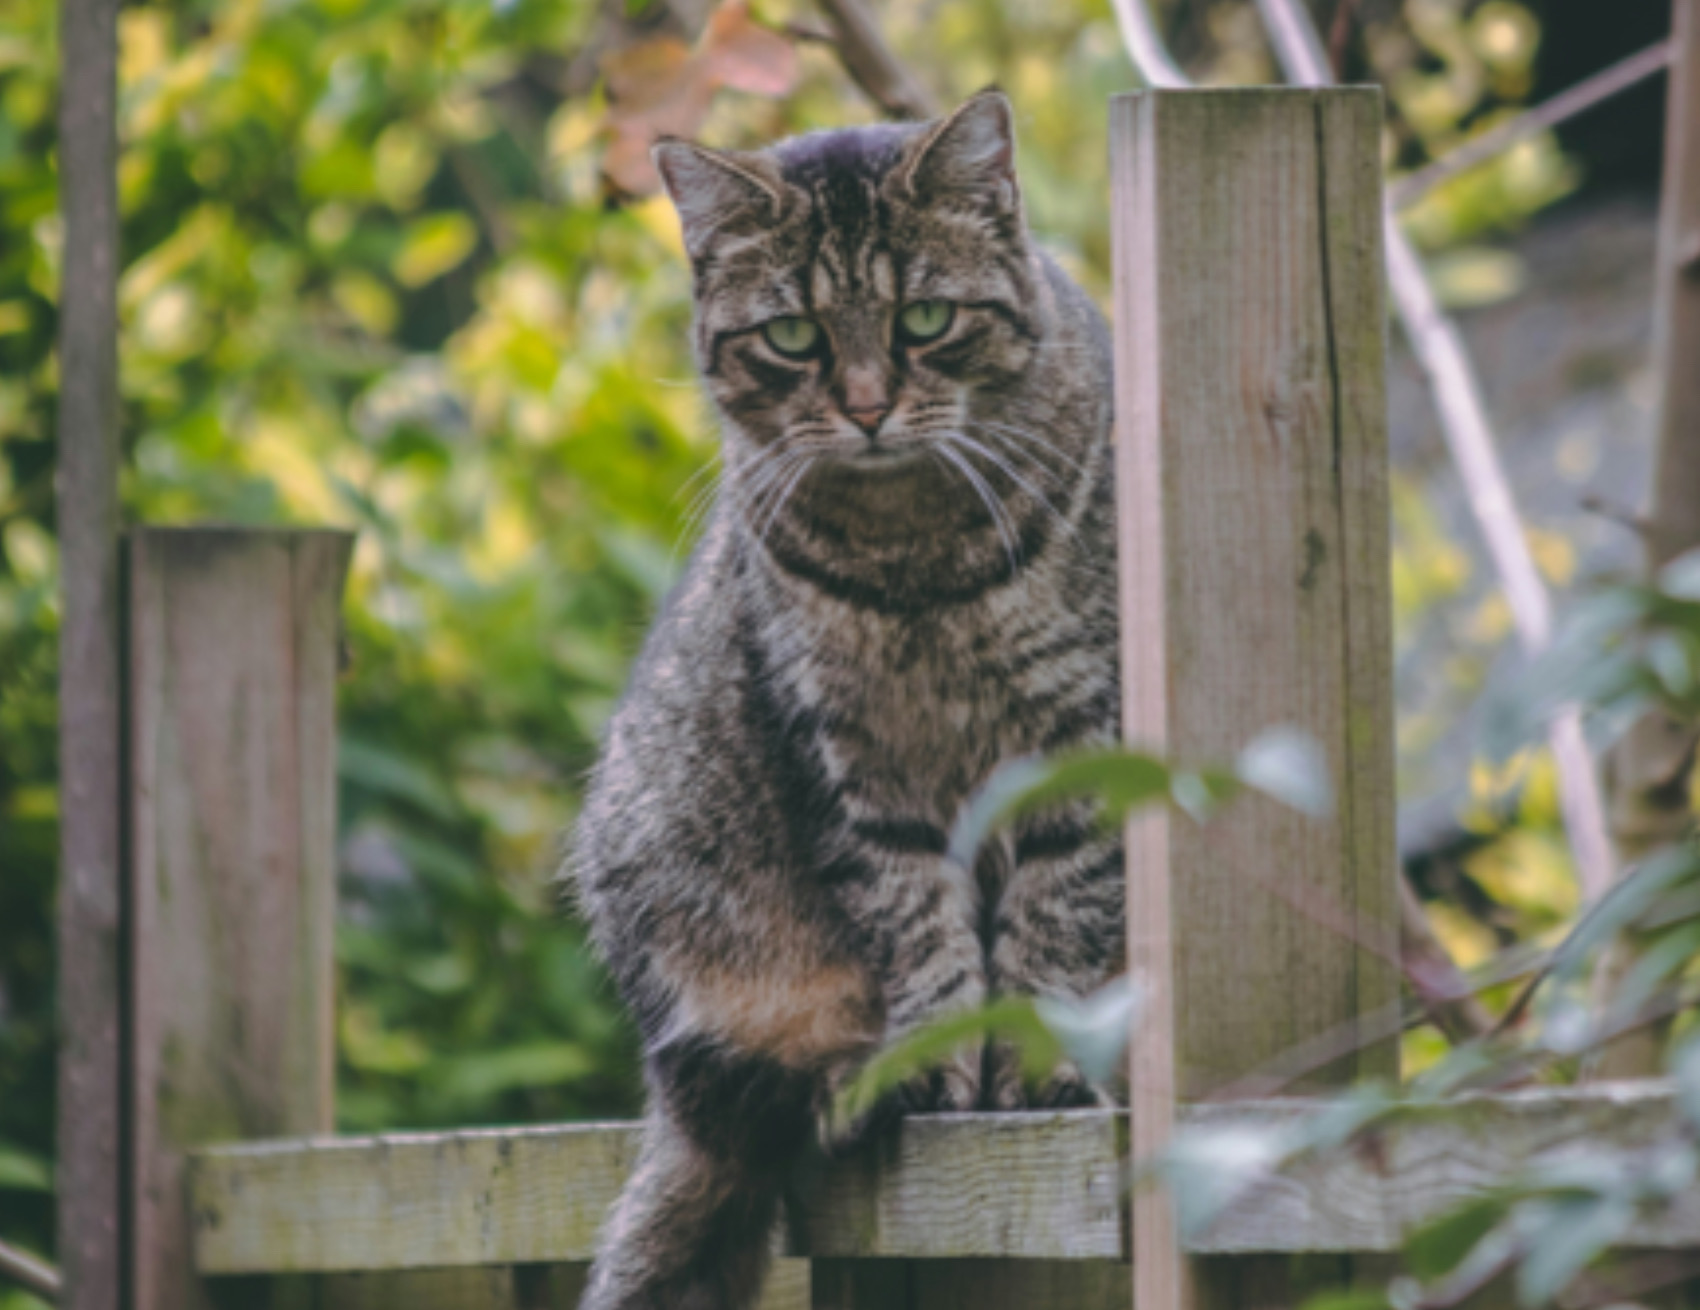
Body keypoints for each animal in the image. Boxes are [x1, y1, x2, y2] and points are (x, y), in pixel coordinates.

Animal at [571, 92, 1128, 1310]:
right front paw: (933, 1059)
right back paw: (845, 1072)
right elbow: (911, 919)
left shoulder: (1083, 728)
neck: (913, 558)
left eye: (925, 318)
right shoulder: (843, 753)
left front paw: (1042, 1060)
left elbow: (1061, 898)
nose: (868, 407)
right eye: (793, 337)